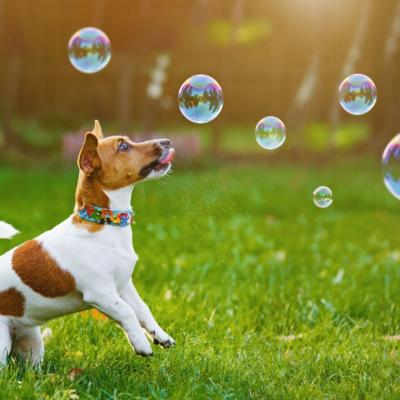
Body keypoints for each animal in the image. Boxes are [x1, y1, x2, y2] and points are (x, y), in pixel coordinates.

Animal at [0, 121, 175, 366]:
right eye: (123, 146)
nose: (167, 141)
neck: (104, 222)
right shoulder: (101, 294)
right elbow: (127, 312)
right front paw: (141, 343)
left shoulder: (124, 286)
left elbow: (142, 308)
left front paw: (160, 335)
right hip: (2, 343)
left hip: (32, 343)